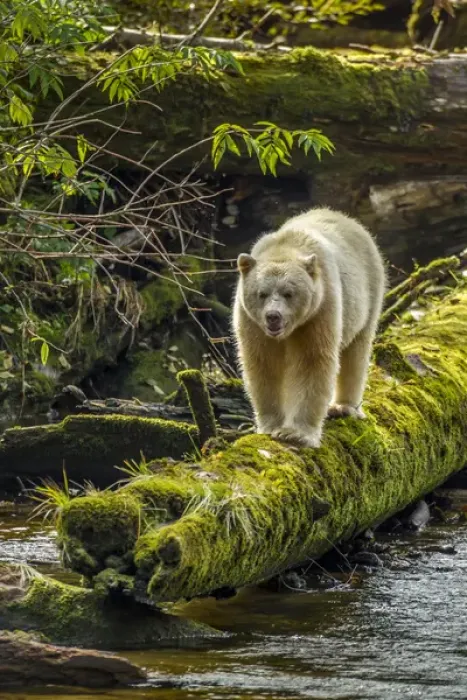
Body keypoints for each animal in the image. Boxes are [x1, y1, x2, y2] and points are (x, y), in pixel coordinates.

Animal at [232, 207, 387, 448]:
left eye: (289, 293)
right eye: (262, 293)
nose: (273, 317)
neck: (284, 248)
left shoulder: (319, 312)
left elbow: (312, 362)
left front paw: (296, 433)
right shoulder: (251, 323)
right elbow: (263, 365)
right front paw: (271, 426)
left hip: (366, 296)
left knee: (356, 353)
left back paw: (343, 406)